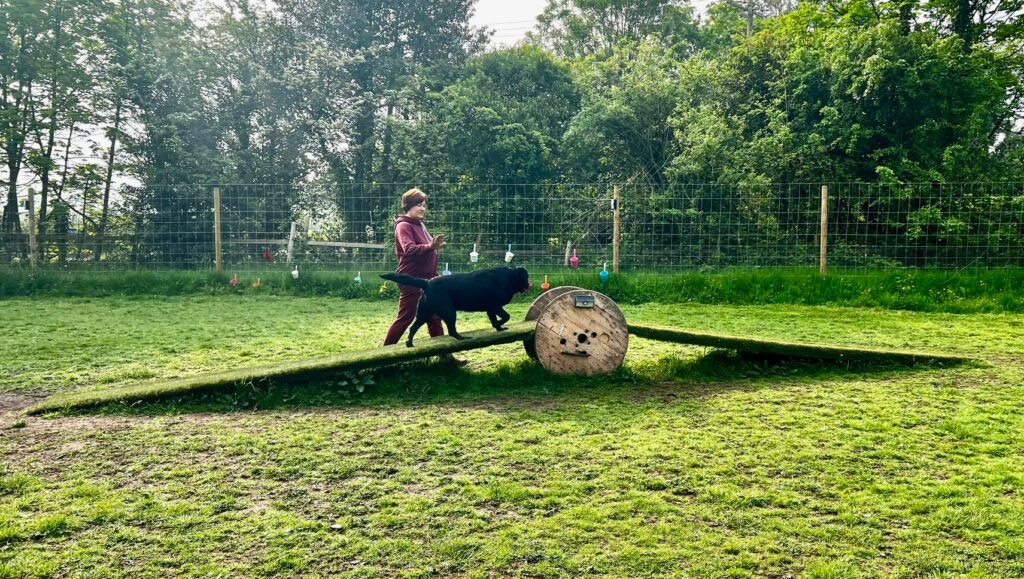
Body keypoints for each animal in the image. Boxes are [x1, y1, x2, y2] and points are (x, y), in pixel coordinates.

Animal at [380, 264, 532, 346]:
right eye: (526, 277)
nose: (529, 285)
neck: (508, 277)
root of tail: (427, 282)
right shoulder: (494, 306)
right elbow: (506, 316)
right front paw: (499, 325)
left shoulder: (490, 309)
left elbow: (497, 319)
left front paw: (498, 328)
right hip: (449, 312)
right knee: (452, 331)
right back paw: (462, 338)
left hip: (424, 313)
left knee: (412, 328)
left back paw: (409, 343)